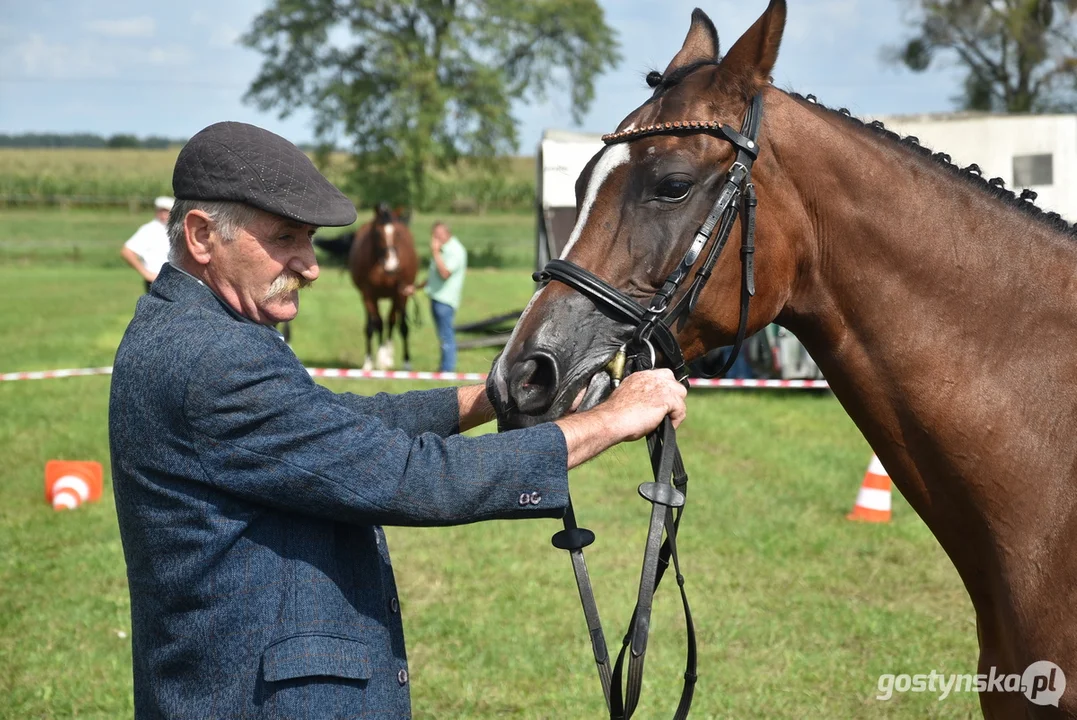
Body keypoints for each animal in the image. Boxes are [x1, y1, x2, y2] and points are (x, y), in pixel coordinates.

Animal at [348, 202, 415, 370]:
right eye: (378, 233)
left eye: (397, 233)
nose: (392, 265)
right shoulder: (368, 295)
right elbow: (375, 325)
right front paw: (371, 361)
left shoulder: (401, 293)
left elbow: (402, 326)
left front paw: (406, 362)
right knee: (376, 324)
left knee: (391, 322)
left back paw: (388, 357)